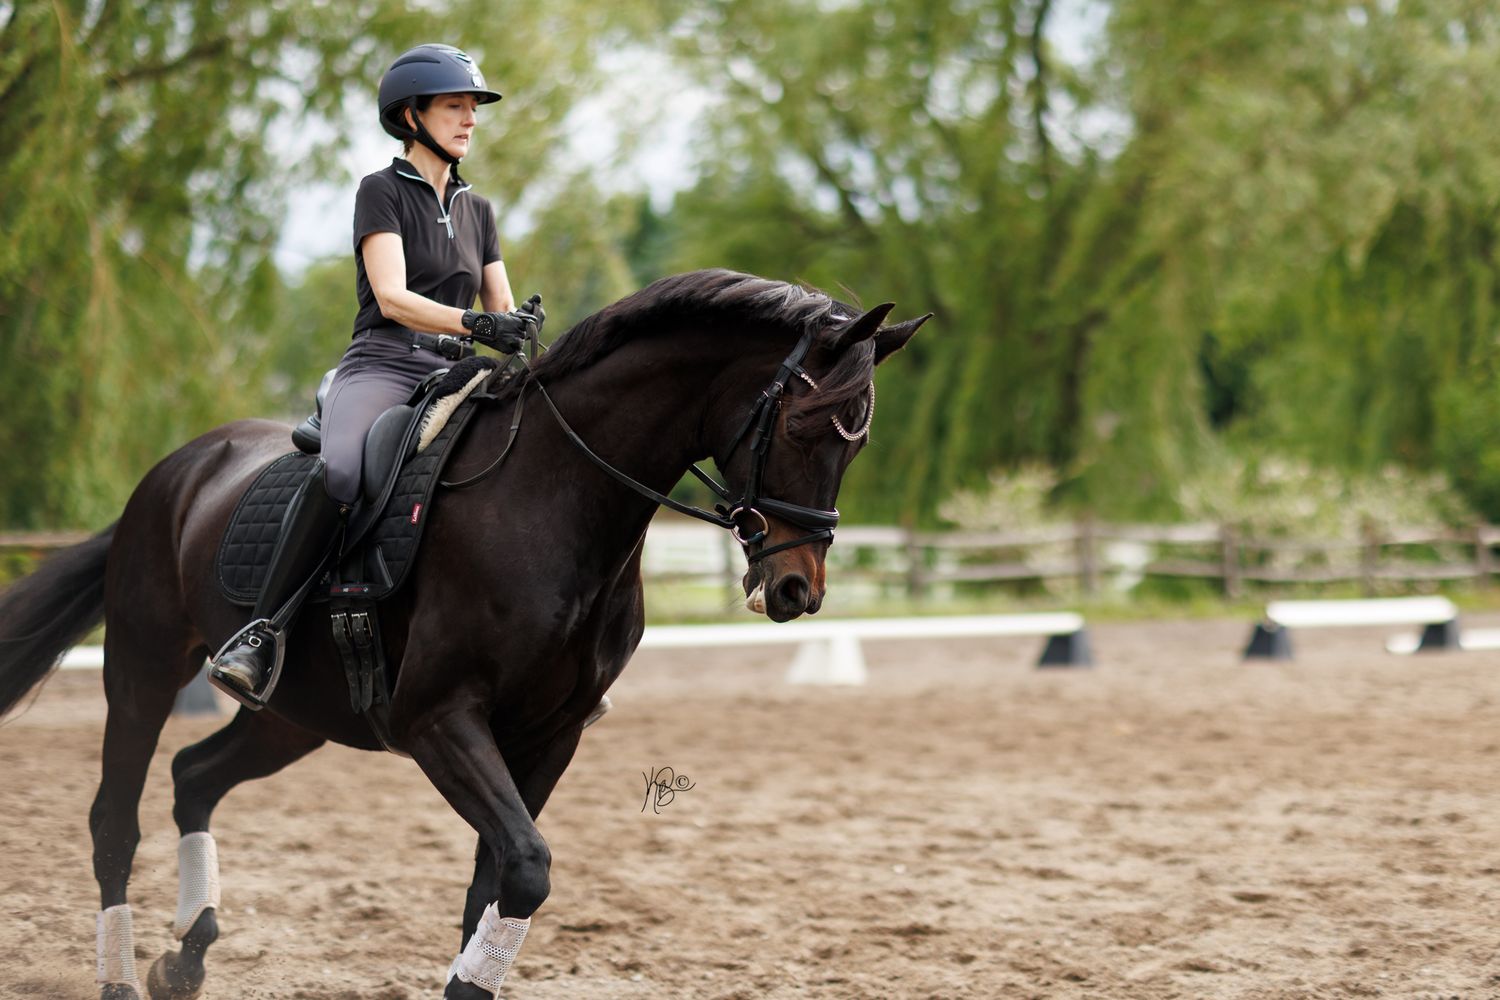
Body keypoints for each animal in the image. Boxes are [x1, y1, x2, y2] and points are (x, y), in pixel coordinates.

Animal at [0, 268, 926, 999]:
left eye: (858, 443)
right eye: (803, 427)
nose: (797, 589)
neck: (557, 501)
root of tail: (174, 470)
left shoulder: (550, 735)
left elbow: (495, 880)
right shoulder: (439, 719)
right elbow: (525, 867)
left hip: (296, 714)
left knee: (195, 775)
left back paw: (186, 959)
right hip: (145, 669)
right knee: (115, 820)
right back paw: (121, 978)